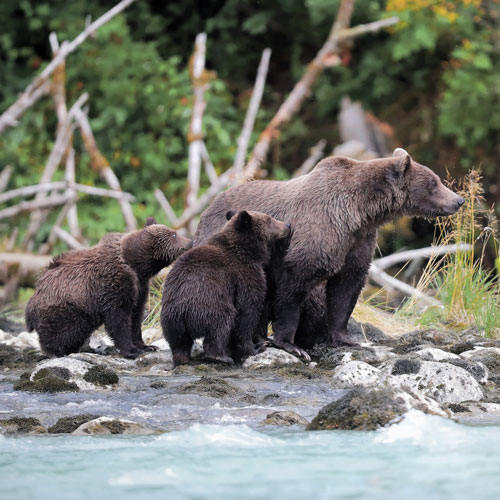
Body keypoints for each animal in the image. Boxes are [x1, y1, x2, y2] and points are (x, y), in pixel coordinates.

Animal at [194, 148, 464, 360]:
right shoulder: (317, 232)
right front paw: (291, 344)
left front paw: (346, 338)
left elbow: (346, 289)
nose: (459, 200)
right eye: (434, 182)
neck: (359, 212)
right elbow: (295, 287)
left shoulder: (357, 241)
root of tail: (209, 206)